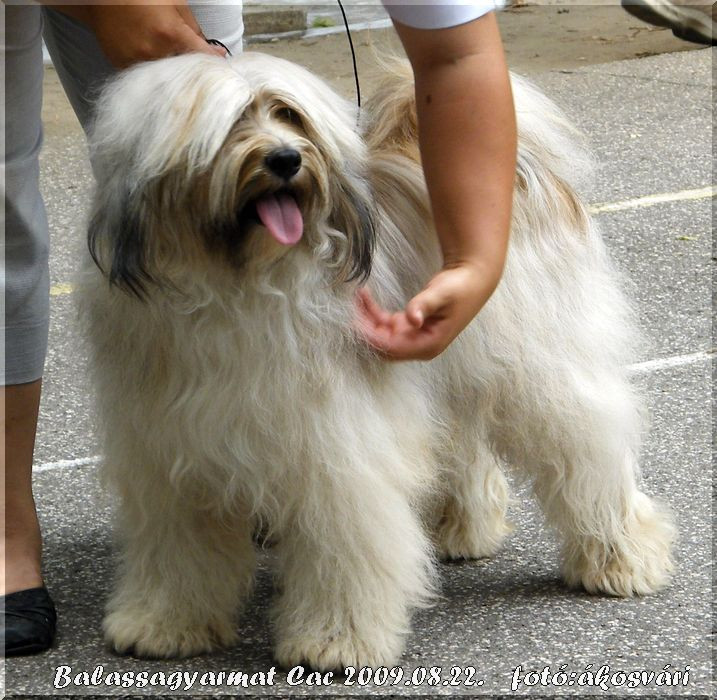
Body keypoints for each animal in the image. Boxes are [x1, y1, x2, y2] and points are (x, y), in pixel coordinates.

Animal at [79, 50, 676, 668]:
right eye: (233, 123)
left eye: (289, 115)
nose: (286, 159)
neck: (237, 287)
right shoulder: (168, 454)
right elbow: (178, 550)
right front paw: (165, 623)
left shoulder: (338, 449)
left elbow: (346, 547)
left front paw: (336, 639)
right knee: (463, 441)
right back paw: (464, 527)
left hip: (540, 365)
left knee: (588, 451)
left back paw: (621, 557)